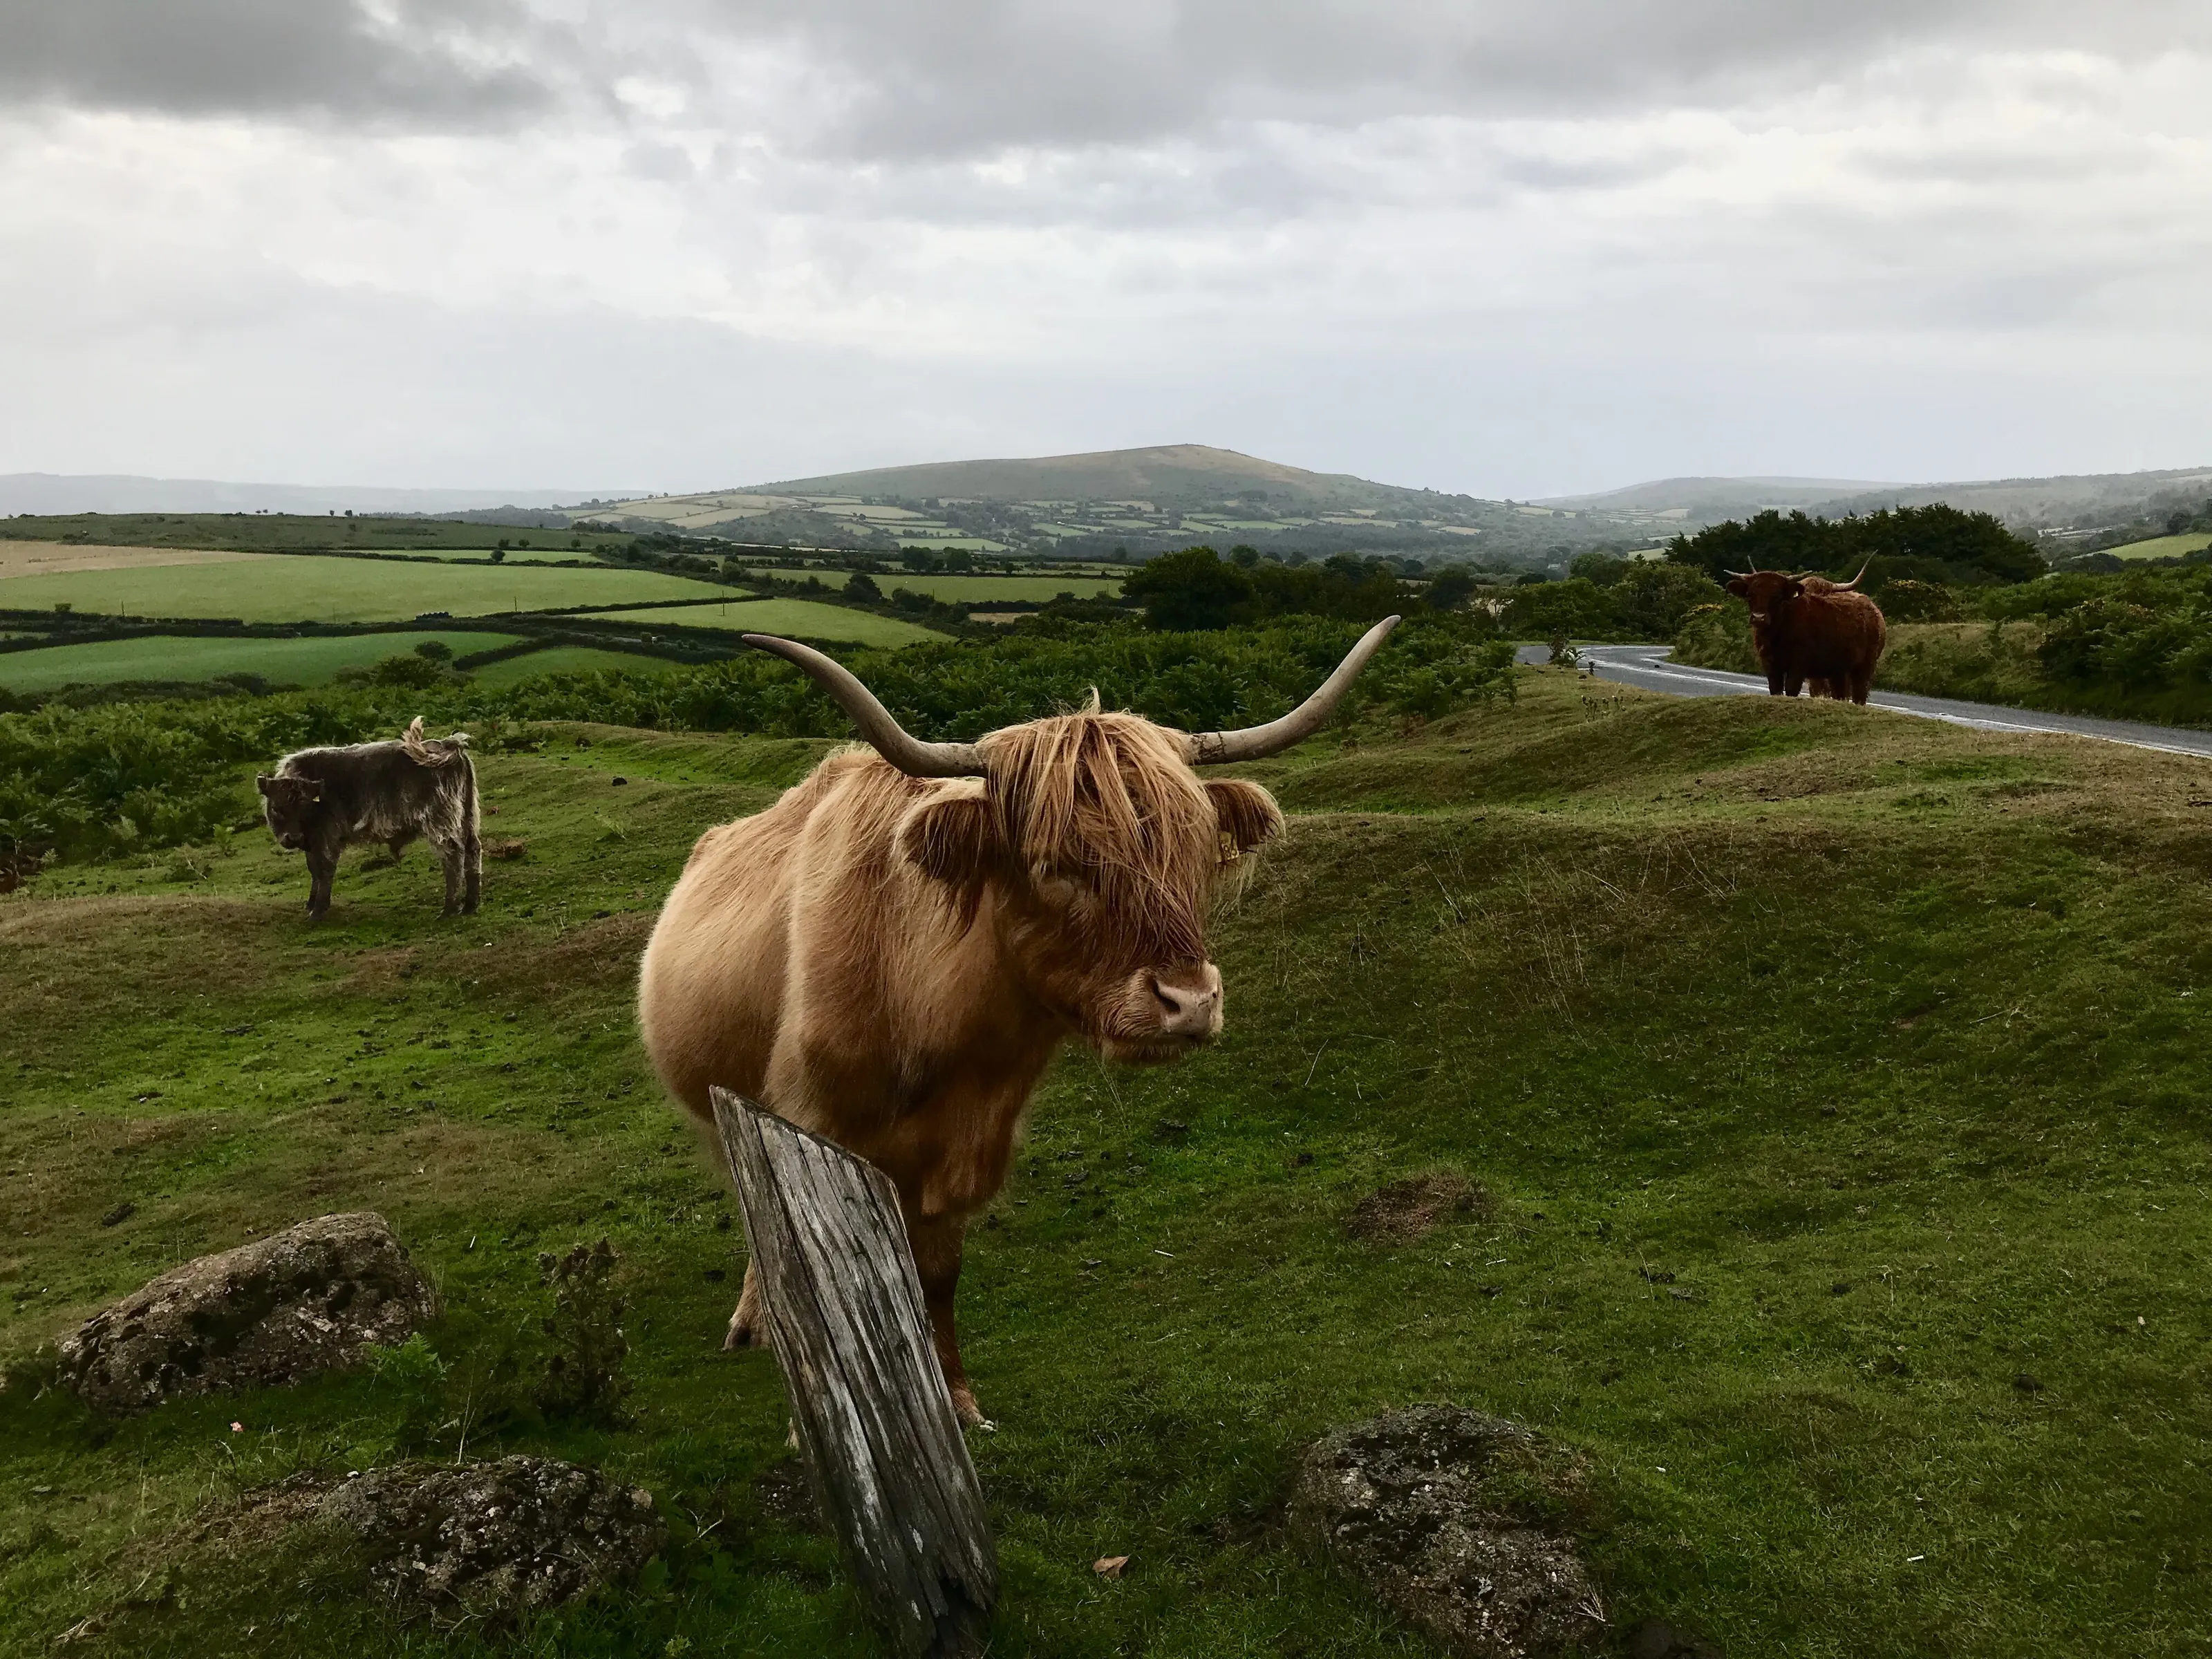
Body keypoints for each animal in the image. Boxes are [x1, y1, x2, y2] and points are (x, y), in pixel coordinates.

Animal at [258, 717, 481, 921]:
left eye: (304, 807)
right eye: (276, 808)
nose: (293, 838)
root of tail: (447, 744)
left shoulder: (327, 838)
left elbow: (324, 869)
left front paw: (318, 911)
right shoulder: (312, 842)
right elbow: (313, 869)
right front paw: (311, 904)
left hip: (440, 822)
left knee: (453, 855)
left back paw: (449, 909)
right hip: (468, 815)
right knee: (473, 849)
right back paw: (471, 904)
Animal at [638, 620, 1399, 1425]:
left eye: (1191, 850)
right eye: (1052, 862)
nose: (1189, 1002)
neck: (925, 1016)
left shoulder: (965, 1150)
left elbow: (937, 1273)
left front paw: (952, 1392)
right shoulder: (808, 1124)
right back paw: (750, 1321)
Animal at [1723, 563, 1886, 704]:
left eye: (1777, 596)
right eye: (1750, 595)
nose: (1759, 617)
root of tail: (1872, 607)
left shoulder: (1799, 664)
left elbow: (1791, 689)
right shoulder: (1770, 663)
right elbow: (1775, 689)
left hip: (1866, 666)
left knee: (1860, 694)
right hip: (1838, 670)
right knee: (1840, 694)